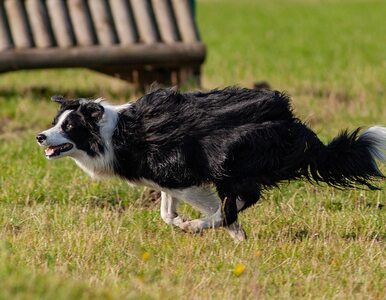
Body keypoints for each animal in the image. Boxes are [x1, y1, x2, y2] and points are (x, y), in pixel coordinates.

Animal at [35, 87, 382, 241]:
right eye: (56, 122)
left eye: (69, 127)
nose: (40, 136)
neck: (112, 134)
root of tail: (291, 121)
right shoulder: (166, 179)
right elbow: (165, 212)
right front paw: (179, 223)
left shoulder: (184, 176)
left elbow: (213, 208)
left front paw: (217, 230)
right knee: (244, 198)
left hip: (227, 156)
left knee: (241, 199)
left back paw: (212, 228)